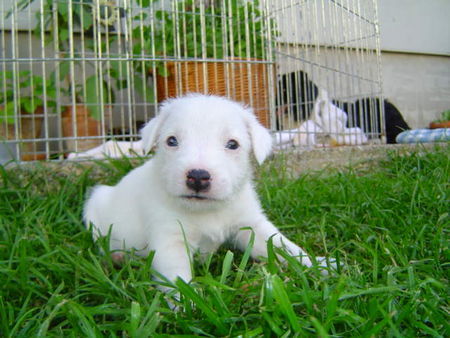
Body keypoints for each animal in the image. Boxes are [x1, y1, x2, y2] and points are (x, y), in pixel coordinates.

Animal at [84, 93, 332, 286]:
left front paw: (321, 265)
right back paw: (117, 257)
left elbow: (283, 246)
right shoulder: (169, 239)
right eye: (171, 141)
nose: (197, 177)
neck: (206, 211)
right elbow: (178, 278)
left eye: (232, 144)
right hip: (94, 206)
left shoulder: (252, 225)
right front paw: (186, 307)